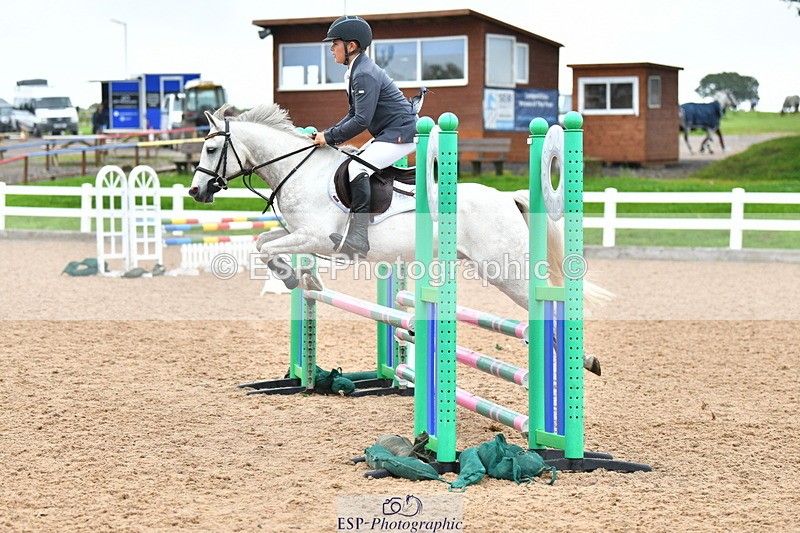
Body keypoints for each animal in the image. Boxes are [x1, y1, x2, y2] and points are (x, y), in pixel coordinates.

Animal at [188, 104, 610, 373]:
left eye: (211, 148)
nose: (196, 191)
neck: (298, 170)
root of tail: (508, 198)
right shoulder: (298, 234)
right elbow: (263, 243)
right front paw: (306, 280)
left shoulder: (316, 238)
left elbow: (268, 249)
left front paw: (295, 278)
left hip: (504, 271)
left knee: (544, 304)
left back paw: (580, 360)